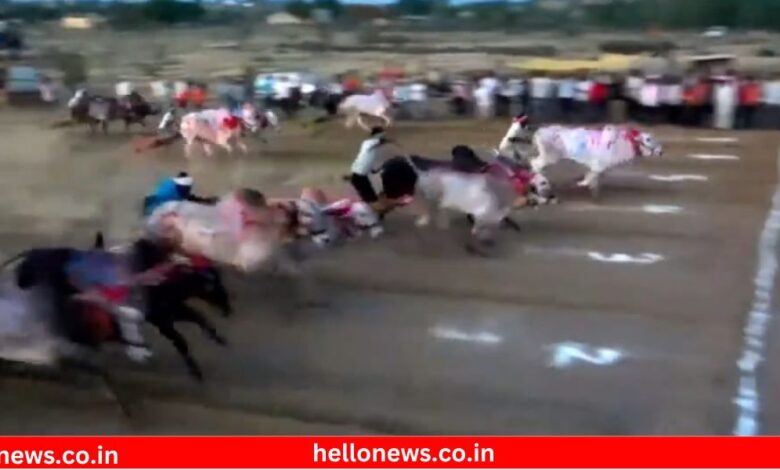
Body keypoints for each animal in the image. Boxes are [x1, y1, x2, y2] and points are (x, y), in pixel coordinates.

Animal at [528, 124, 660, 197]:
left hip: (548, 156)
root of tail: (539, 132)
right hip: (551, 156)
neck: (620, 145)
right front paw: (584, 185)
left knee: (535, 163)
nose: (660, 151)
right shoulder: (598, 165)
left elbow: (592, 177)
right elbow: (590, 178)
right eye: (648, 139)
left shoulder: (597, 167)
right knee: (535, 164)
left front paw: (590, 188)